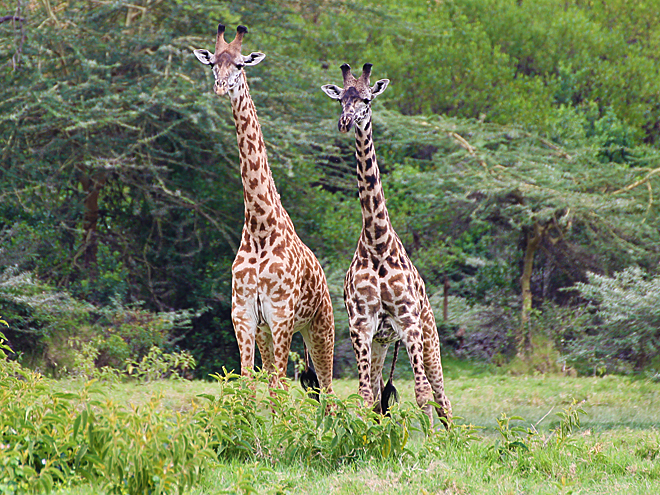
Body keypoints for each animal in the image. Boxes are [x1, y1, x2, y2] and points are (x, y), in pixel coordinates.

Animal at [322, 62, 452, 426]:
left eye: (367, 99)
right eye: (341, 99)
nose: (346, 121)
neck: (377, 242)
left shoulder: (408, 320)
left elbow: (422, 395)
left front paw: (433, 438)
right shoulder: (361, 324)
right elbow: (366, 398)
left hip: (428, 334)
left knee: (442, 399)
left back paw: (452, 434)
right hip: (381, 343)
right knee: (379, 395)